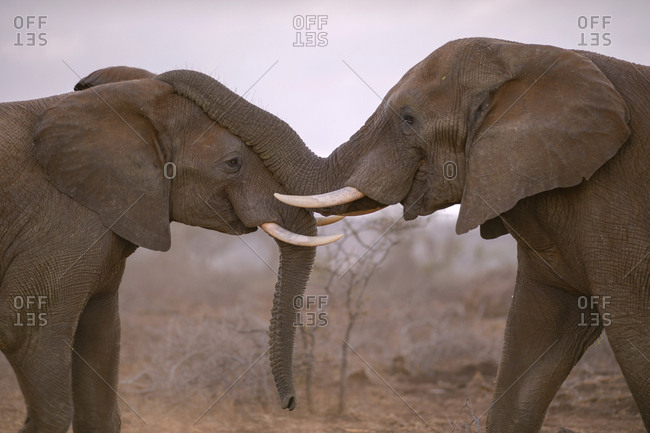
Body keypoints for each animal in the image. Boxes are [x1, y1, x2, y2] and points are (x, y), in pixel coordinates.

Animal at [275, 38, 650, 431]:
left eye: (408, 119)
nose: (290, 403)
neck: (525, 53)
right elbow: (532, 339)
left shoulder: (618, 196)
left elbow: (633, 334)